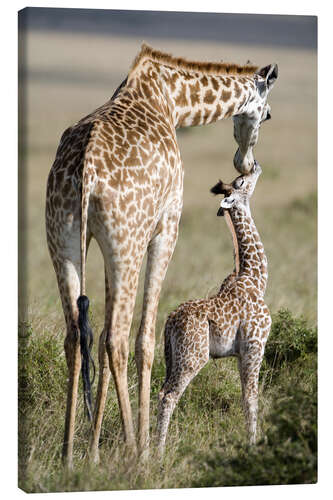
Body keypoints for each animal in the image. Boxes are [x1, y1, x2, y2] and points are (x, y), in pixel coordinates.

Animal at [156, 163, 270, 454]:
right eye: (241, 182)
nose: (256, 165)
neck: (256, 279)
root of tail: (169, 320)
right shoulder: (255, 344)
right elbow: (251, 397)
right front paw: (253, 445)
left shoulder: (241, 352)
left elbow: (245, 396)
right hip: (193, 356)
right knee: (169, 396)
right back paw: (156, 454)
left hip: (172, 356)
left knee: (161, 391)